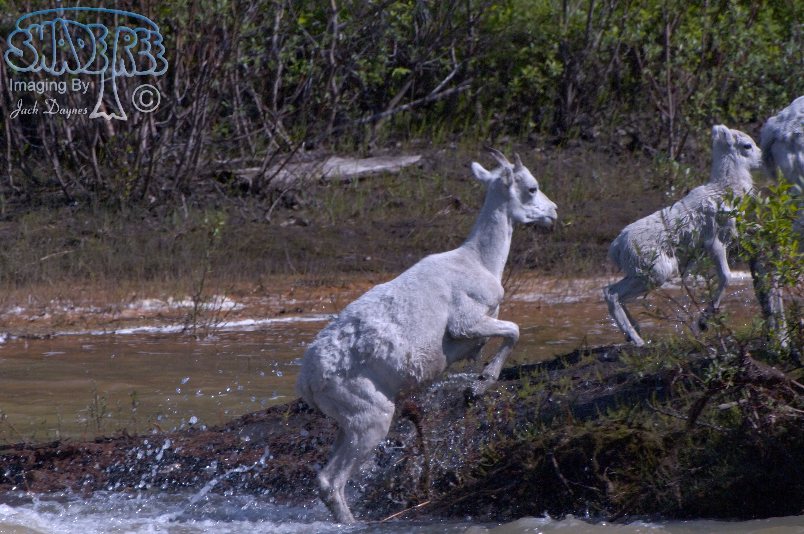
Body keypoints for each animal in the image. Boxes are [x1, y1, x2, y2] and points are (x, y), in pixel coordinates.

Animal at [296, 149, 557, 523]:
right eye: (532, 187)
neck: (480, 262)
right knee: (332, 482)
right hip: (370, 419)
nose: (553, 212)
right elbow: (513, 331)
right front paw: (477, 387)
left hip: (346, 423)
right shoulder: (467, 322)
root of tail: (308, 380)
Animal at [603, 125, 762, 346]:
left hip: (639, 272)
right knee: (612, 294)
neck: (725, 190)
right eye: (747, 145)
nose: (763, 159)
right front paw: (703, 322)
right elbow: (726, 277)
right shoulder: (714, 243)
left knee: (610, 291)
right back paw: (637, 340)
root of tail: (616, 248)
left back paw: (634, 331)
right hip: (656, 272)